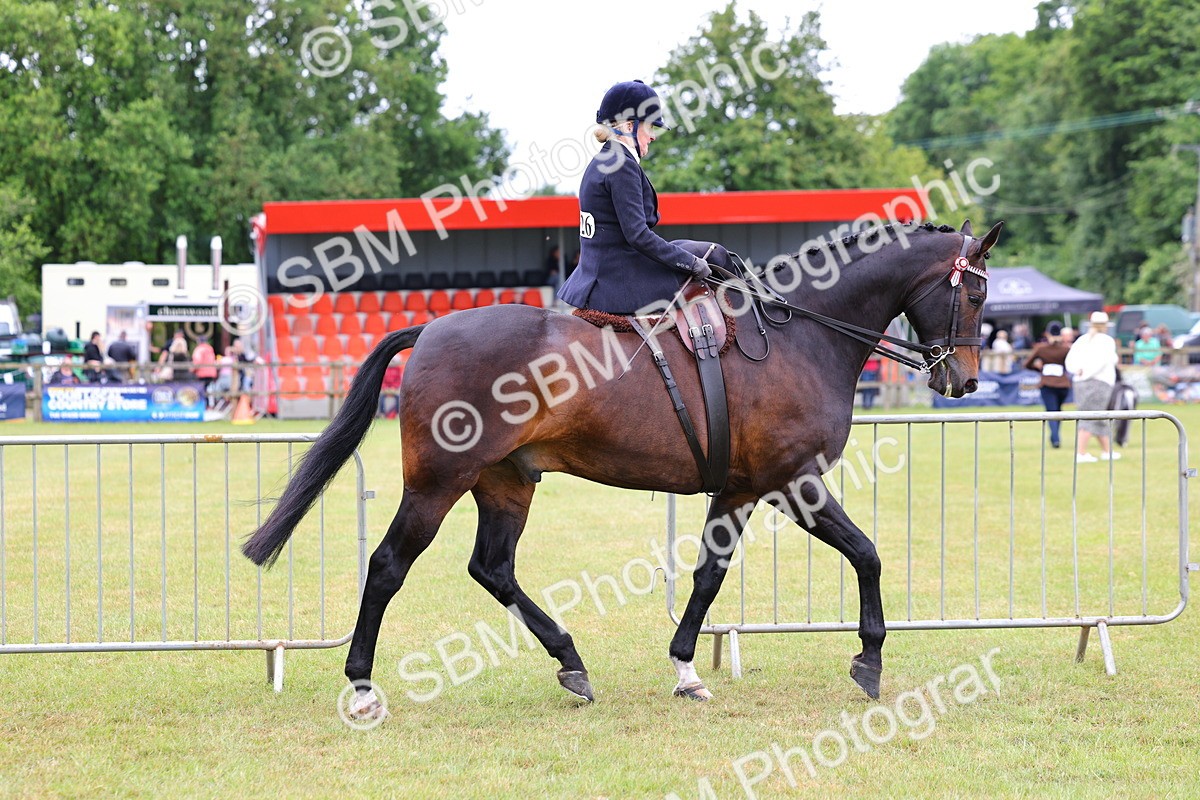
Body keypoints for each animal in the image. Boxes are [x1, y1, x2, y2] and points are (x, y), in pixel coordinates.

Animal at [243, 219, 1003, 715]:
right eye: (975, 296)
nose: (963, 380)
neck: (803, 335)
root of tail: (430, 326)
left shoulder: (740, 491)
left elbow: (706, 577)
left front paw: (687, 668)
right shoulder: (795, 484)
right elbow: (866, 553)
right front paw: (869, 660)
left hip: (506, 482)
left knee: (492, 569)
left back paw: (571, 663)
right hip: (438, 483)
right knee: (388, 566)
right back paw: (362, 684)